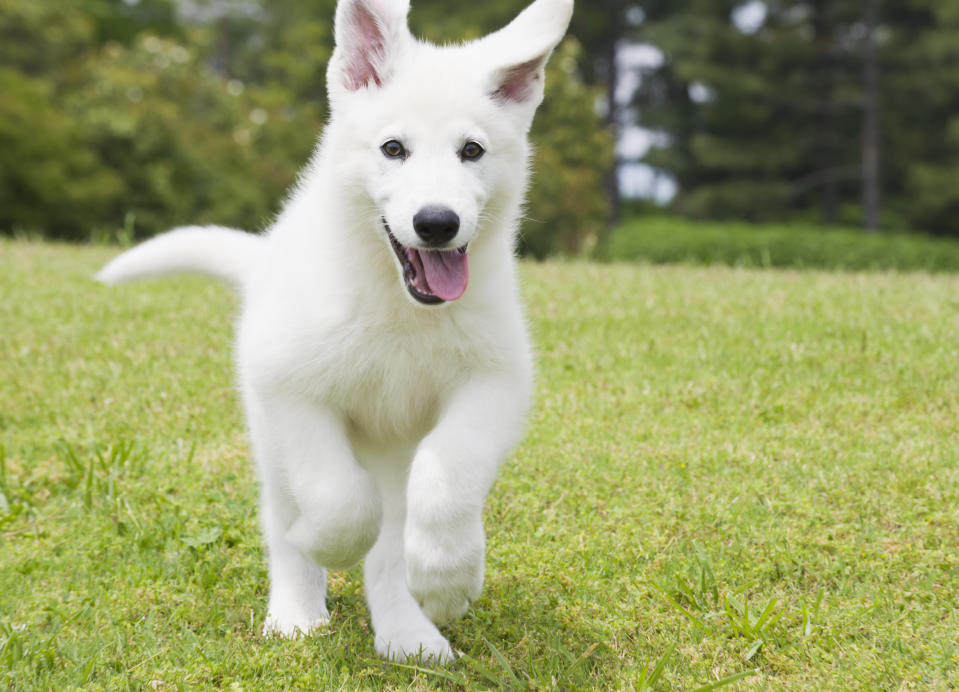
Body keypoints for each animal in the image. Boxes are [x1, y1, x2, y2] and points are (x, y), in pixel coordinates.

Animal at [99, 0, 568, 664]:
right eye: (393, 148)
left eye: (472, 150)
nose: (437, 222)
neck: (399, 306)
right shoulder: (292, 391)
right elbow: (338, 498)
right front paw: (324, 545)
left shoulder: (495, 384)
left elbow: (447, 472)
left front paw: (447, 578)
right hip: (270, 438)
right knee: (288, 517)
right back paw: (297, 611)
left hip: (394, 453)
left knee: (392, 538)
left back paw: (409, 633)